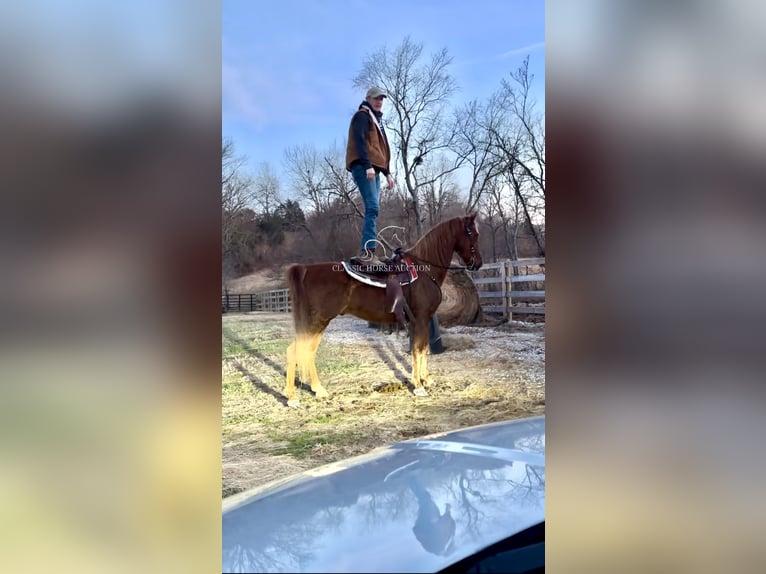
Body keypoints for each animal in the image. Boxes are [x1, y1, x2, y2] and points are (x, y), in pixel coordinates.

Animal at [282, 216, 486, 410]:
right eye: (473, 234)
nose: (478, 263)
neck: (423, 270)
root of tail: (307, 269)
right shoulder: (420, 319)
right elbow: (418, 349)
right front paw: (419, 386)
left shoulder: (422, 320)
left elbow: (423, 348)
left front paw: (426, 380)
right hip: (317, 322)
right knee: (296, 351)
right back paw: (293, 398)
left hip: (316, 323)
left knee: (307, 351)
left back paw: (318, 390)